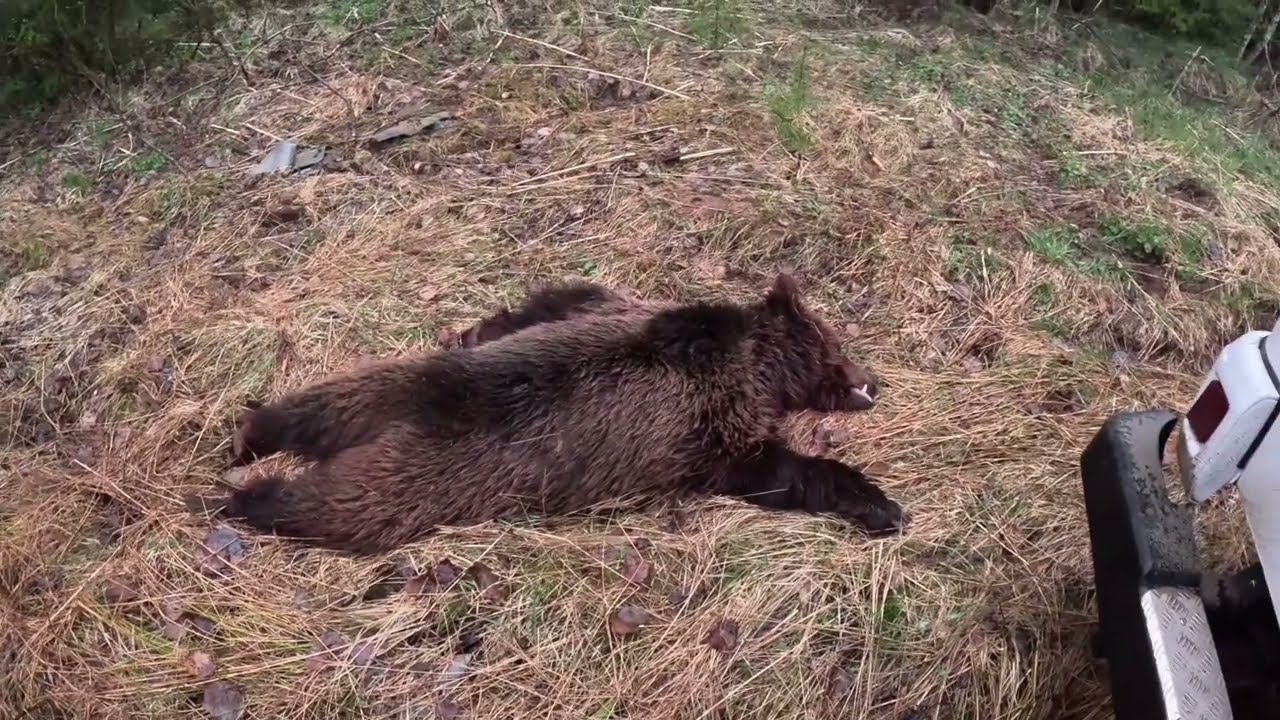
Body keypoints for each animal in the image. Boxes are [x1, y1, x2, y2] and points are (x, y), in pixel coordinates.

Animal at [219, 273, 901, 554]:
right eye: (836, 347)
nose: (874, 380)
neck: (755, 367)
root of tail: (399, 426)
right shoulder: (710, 436)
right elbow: (784, 472)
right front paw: (883, 506)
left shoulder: (612, 311)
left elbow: (556, 301)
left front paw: (482, 325)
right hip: (421, 483)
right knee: (337, 507)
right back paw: (248, 497)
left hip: (388, 385)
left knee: (319, 403)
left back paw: (252, 434)